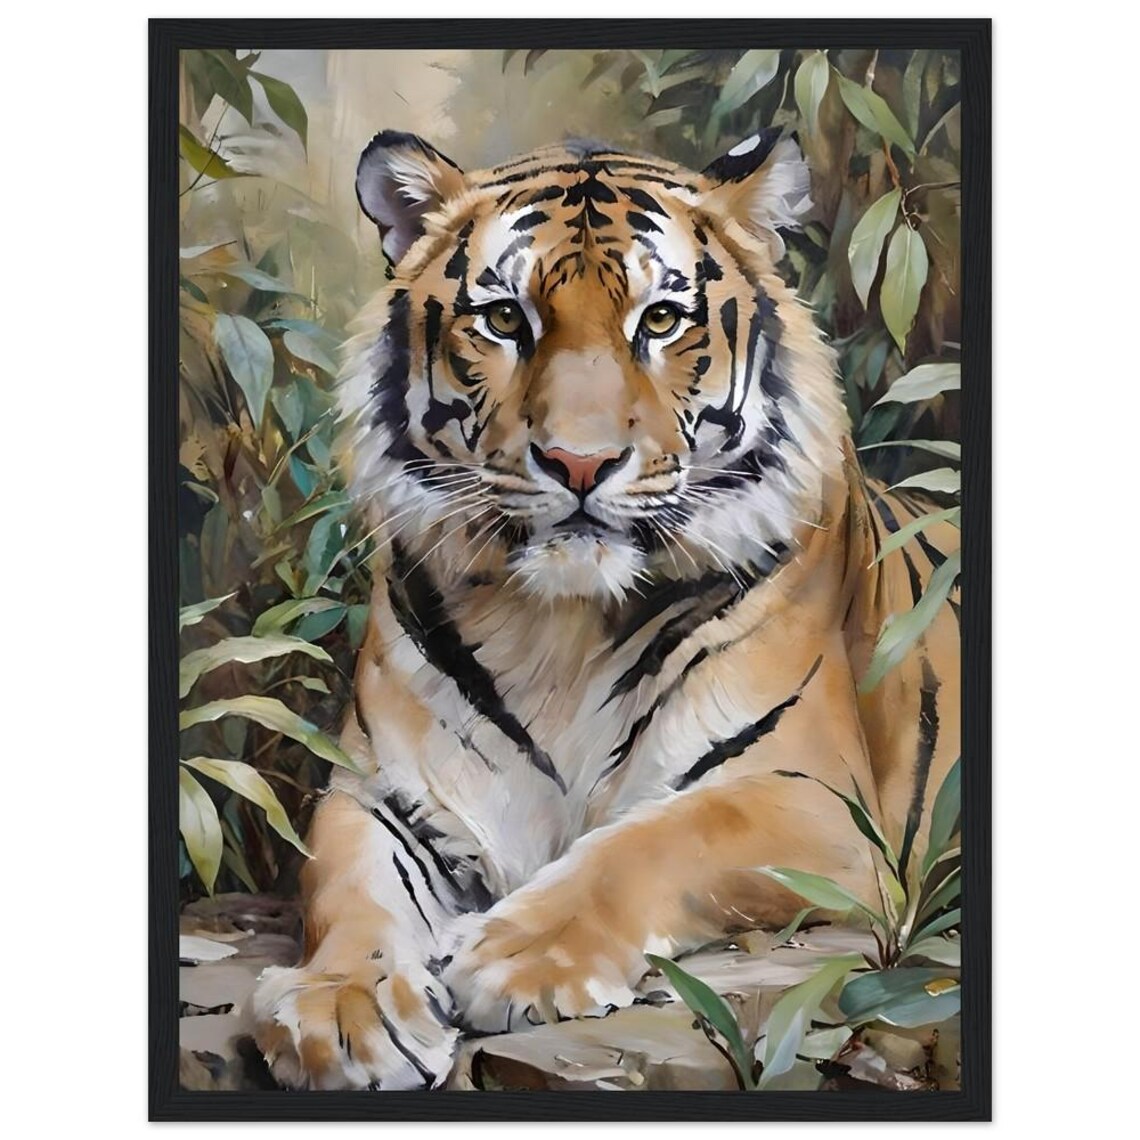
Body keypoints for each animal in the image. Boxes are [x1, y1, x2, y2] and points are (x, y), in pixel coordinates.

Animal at [251, 128, 960, 1091]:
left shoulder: (814, 804)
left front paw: (511, 956)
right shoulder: (380, 794)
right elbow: (348, 888)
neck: (560, 629)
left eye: (659, 322)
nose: (578, 464)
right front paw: (342, 1009)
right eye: (504, 319)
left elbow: (657, 842)